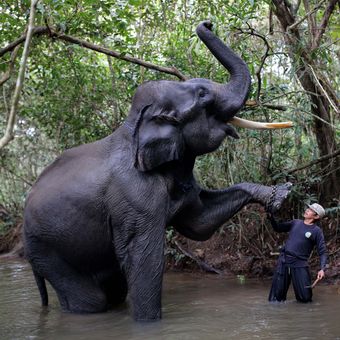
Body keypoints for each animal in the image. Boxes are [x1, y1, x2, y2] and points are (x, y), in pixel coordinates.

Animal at [22, 21, 290, 322]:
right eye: (203, 95)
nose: (208, 23)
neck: (134, 126)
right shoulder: (134, 195)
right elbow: (144, 257)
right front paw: (148, 323)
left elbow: (199, 222)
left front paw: (280, 194)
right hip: (46, 246)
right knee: (91, 300)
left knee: (113, 290)